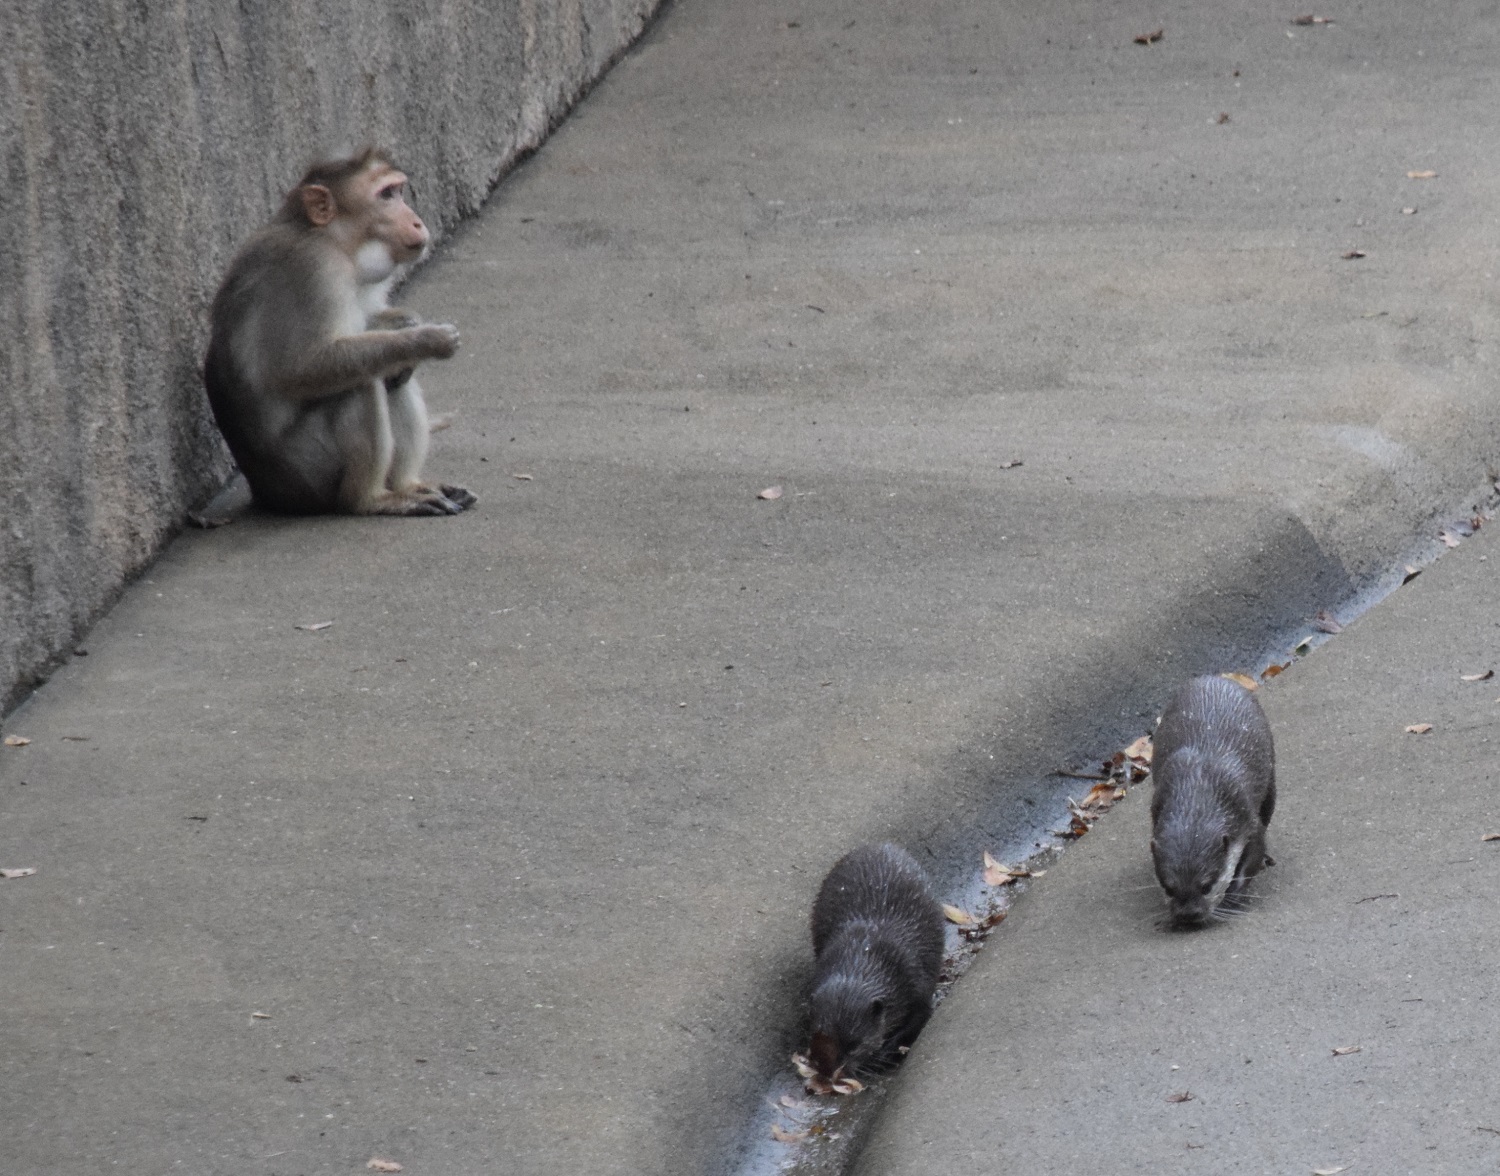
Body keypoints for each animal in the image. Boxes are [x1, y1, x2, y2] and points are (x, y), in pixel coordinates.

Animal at [204, 147, 474, 516]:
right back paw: (372, 499)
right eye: (385, 195)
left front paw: (407, 323)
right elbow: (303, 367)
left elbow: (370, 320)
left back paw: (409, 486)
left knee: (388, 378)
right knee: (360, 383)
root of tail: (266, 495)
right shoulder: (315, 269)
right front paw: (423, 341)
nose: (417, 220)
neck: (337, 242)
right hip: (309, 474)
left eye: (398, 191)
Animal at [804, 846, 942, 1086]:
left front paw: (882, 1055)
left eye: (854, 1045)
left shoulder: (918, 985)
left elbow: (918, 1019)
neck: (864, 952)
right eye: (817, 1035)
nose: (828, 1073)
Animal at [1146, 675, 1278, 930]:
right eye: (1169, 887)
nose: (1189, 915)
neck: (1198, 786)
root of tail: (1216, 678)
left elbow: (1255, 849)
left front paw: (1233, 895)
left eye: (1206, 886)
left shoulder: (1244, 814)